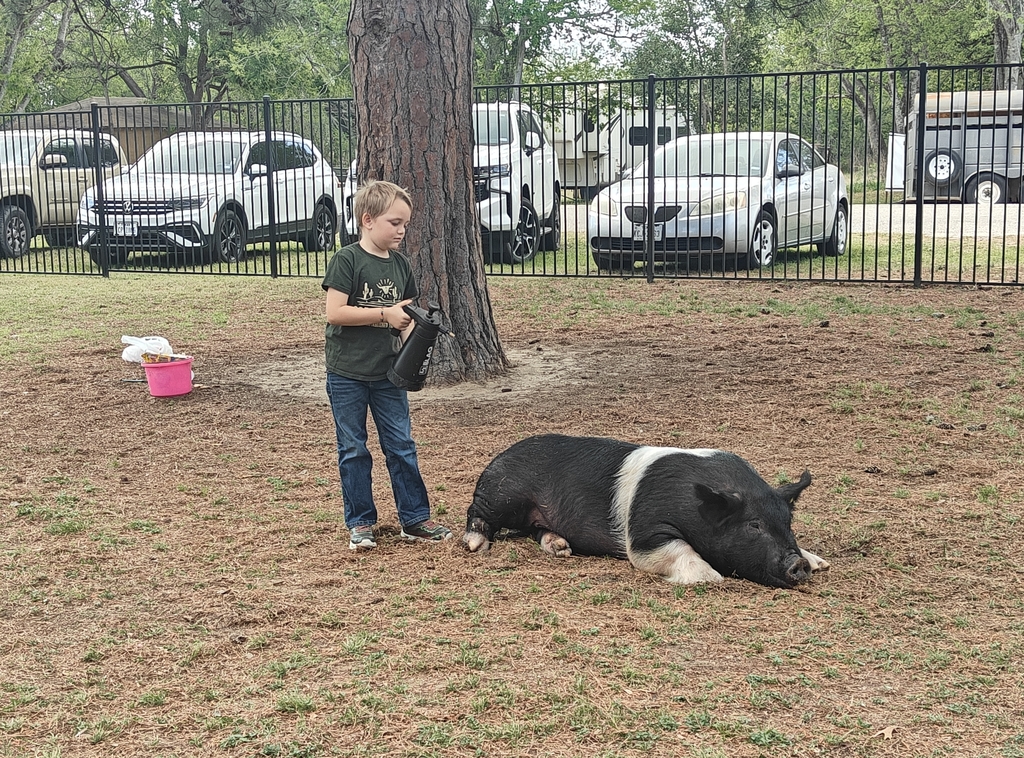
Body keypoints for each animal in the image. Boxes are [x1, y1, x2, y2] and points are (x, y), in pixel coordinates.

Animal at [462, 434, 829, 588]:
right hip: (503, 495)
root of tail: (500, 454)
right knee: (477, 511)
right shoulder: (645, 531)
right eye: (753, 526)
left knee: (537, 529)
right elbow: (675, 548)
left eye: (788, 522)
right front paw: (709, 576)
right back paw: (475, 544)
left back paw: (561, 548)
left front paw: (821, 563)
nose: (797, 564)